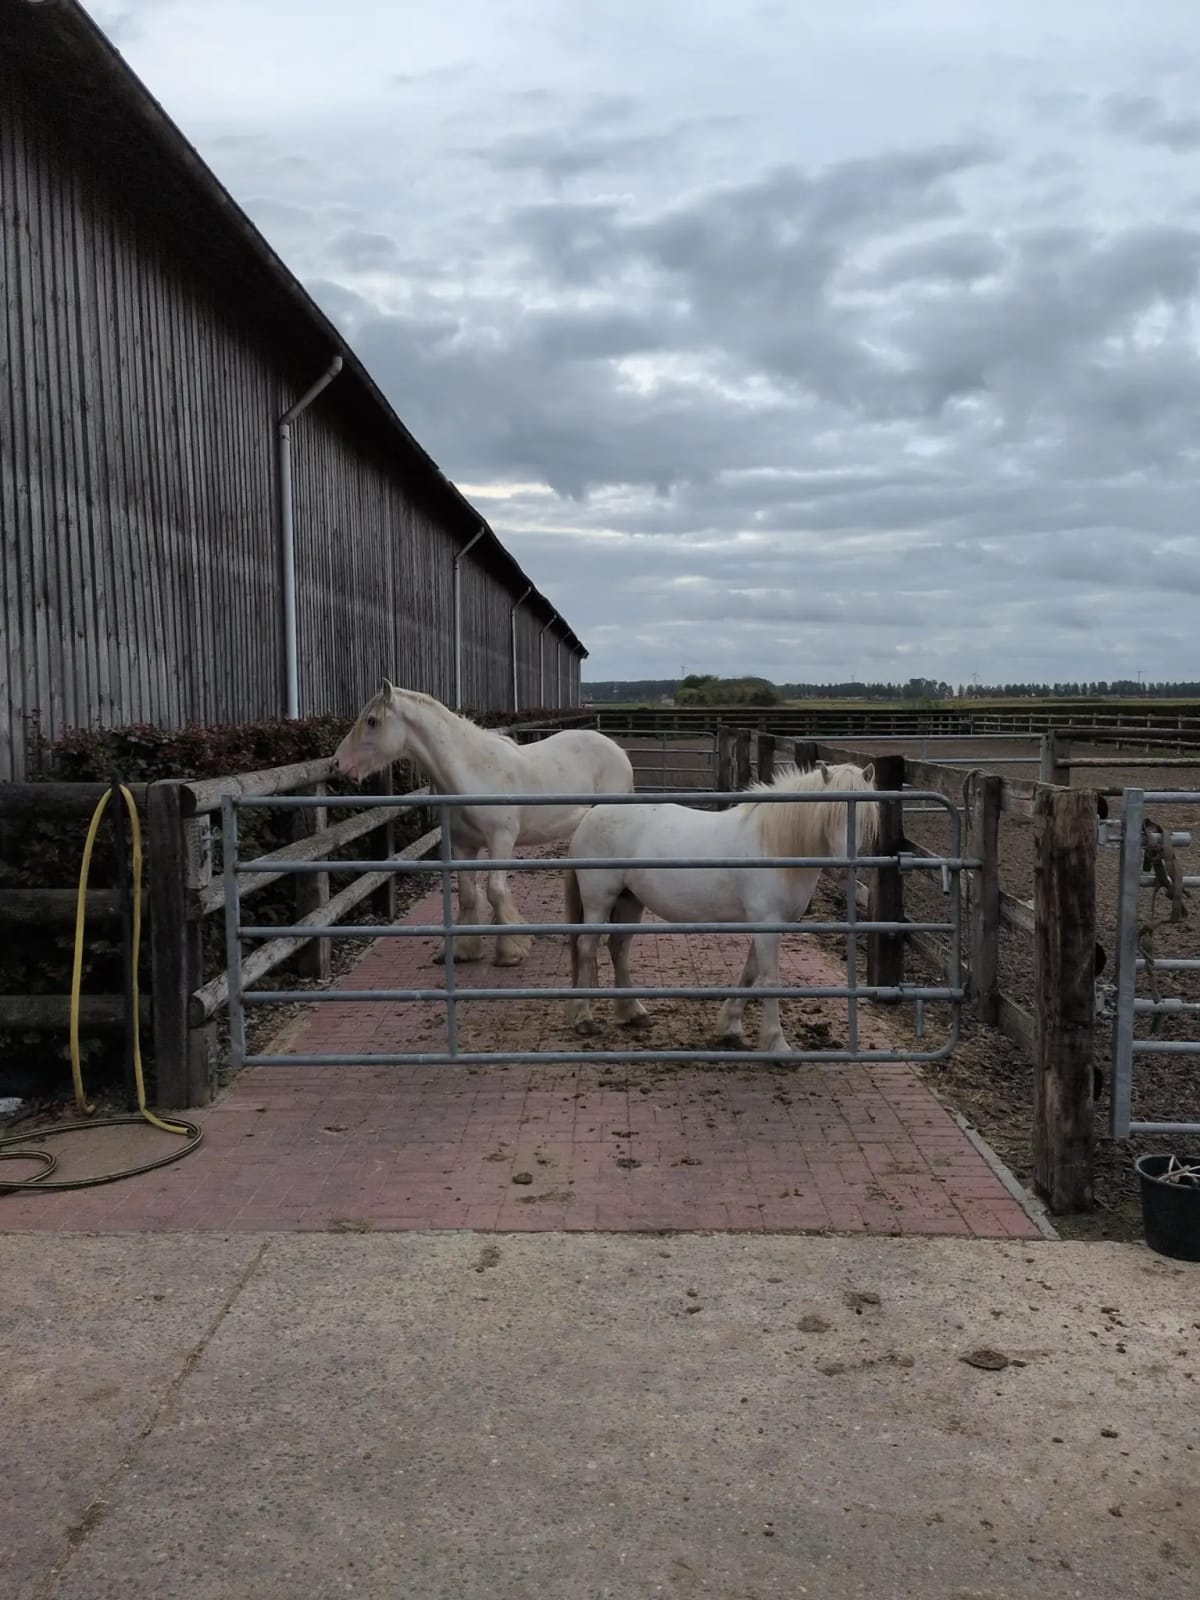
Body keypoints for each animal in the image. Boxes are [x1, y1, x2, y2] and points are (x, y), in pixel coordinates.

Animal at [332, 681, 635, 965]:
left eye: (372, 721)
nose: (337, 763)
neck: (473, 771)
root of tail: (618, 751)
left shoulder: (501, 840)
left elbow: (495, 891)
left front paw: (511, 951)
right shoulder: (463, 844)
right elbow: (467, 894)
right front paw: (464, 950)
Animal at [563, 760, 878, 1052]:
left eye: (864, 815)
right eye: (830, 812)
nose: (843, 869)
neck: (773, 845)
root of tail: (590, 814)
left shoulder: (767, 925)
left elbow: (750, 973)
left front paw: (729, 1026)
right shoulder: (768, 923)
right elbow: (769, 979)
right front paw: (776, 1043)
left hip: (630, 902)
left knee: (618, 948)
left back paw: (633, 1013)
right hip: (599, 901)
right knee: (587, 948)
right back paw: (583, 1018)